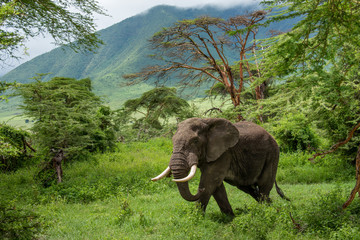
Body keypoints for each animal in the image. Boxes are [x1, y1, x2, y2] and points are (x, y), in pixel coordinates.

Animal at [150, 116, 288, 216]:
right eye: (172, 140)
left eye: (195, 141)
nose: (199, 190)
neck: (205, 122)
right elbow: (216, 187)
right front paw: (230, 217)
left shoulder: (224, 153)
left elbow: (209, 182)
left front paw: (196, 217)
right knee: (248, 188)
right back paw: (270, 207)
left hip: (272, 154)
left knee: (264, 186)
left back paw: (267, 210)